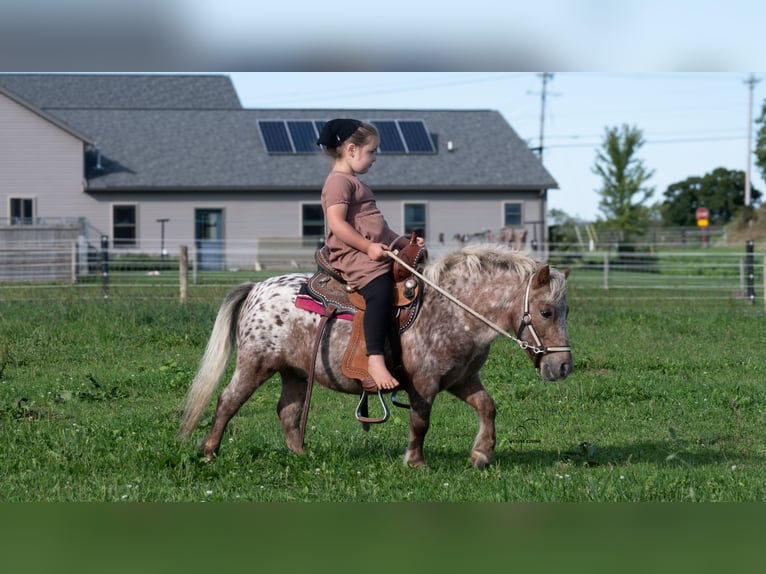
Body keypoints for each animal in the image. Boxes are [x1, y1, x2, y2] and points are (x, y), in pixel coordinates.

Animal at [178, 244, 573, 469]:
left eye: (566, 311)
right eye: (547, 312)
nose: (563, 366)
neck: (452, 311)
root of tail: (257, 288)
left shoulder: (462, 379)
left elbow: (488, 407)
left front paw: (481, 455)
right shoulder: (424, 384)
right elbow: (420, 422)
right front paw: (416, 462)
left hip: (294, 372)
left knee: (288, 412)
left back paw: (303, 456)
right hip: (255, 364)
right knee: (228, 400)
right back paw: (209, 451)